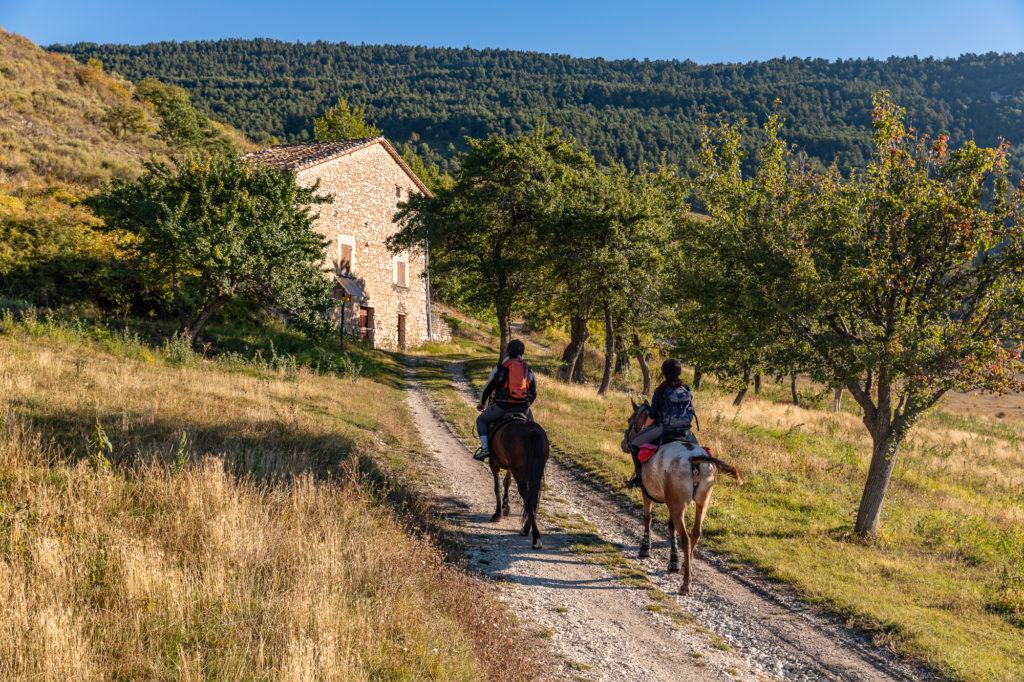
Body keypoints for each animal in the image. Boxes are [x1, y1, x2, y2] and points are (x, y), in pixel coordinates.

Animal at [489, 413, 552, 548]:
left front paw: (497, 514)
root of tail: (531, 431)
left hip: (519, 471)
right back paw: (527, 529)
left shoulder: (493, 463)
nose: (480, 408)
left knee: (526, 495)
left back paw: (536, 537)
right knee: (531, 496)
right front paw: (505, 505)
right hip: (533, 470)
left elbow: (497, 487)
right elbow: (507, 482)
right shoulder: (509, 466)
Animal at [618, 399, 741, 589]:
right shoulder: (672, 501)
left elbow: (648, 518)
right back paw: (685, 567)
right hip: (701, 501)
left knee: (686, 538)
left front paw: (645, 549)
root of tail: (694, 459)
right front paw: (674, 561)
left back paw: (685, 584)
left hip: (677, 505)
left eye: (630, 420)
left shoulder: (647, 492)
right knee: (696, 533)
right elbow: (670, 527)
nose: (624, 444)